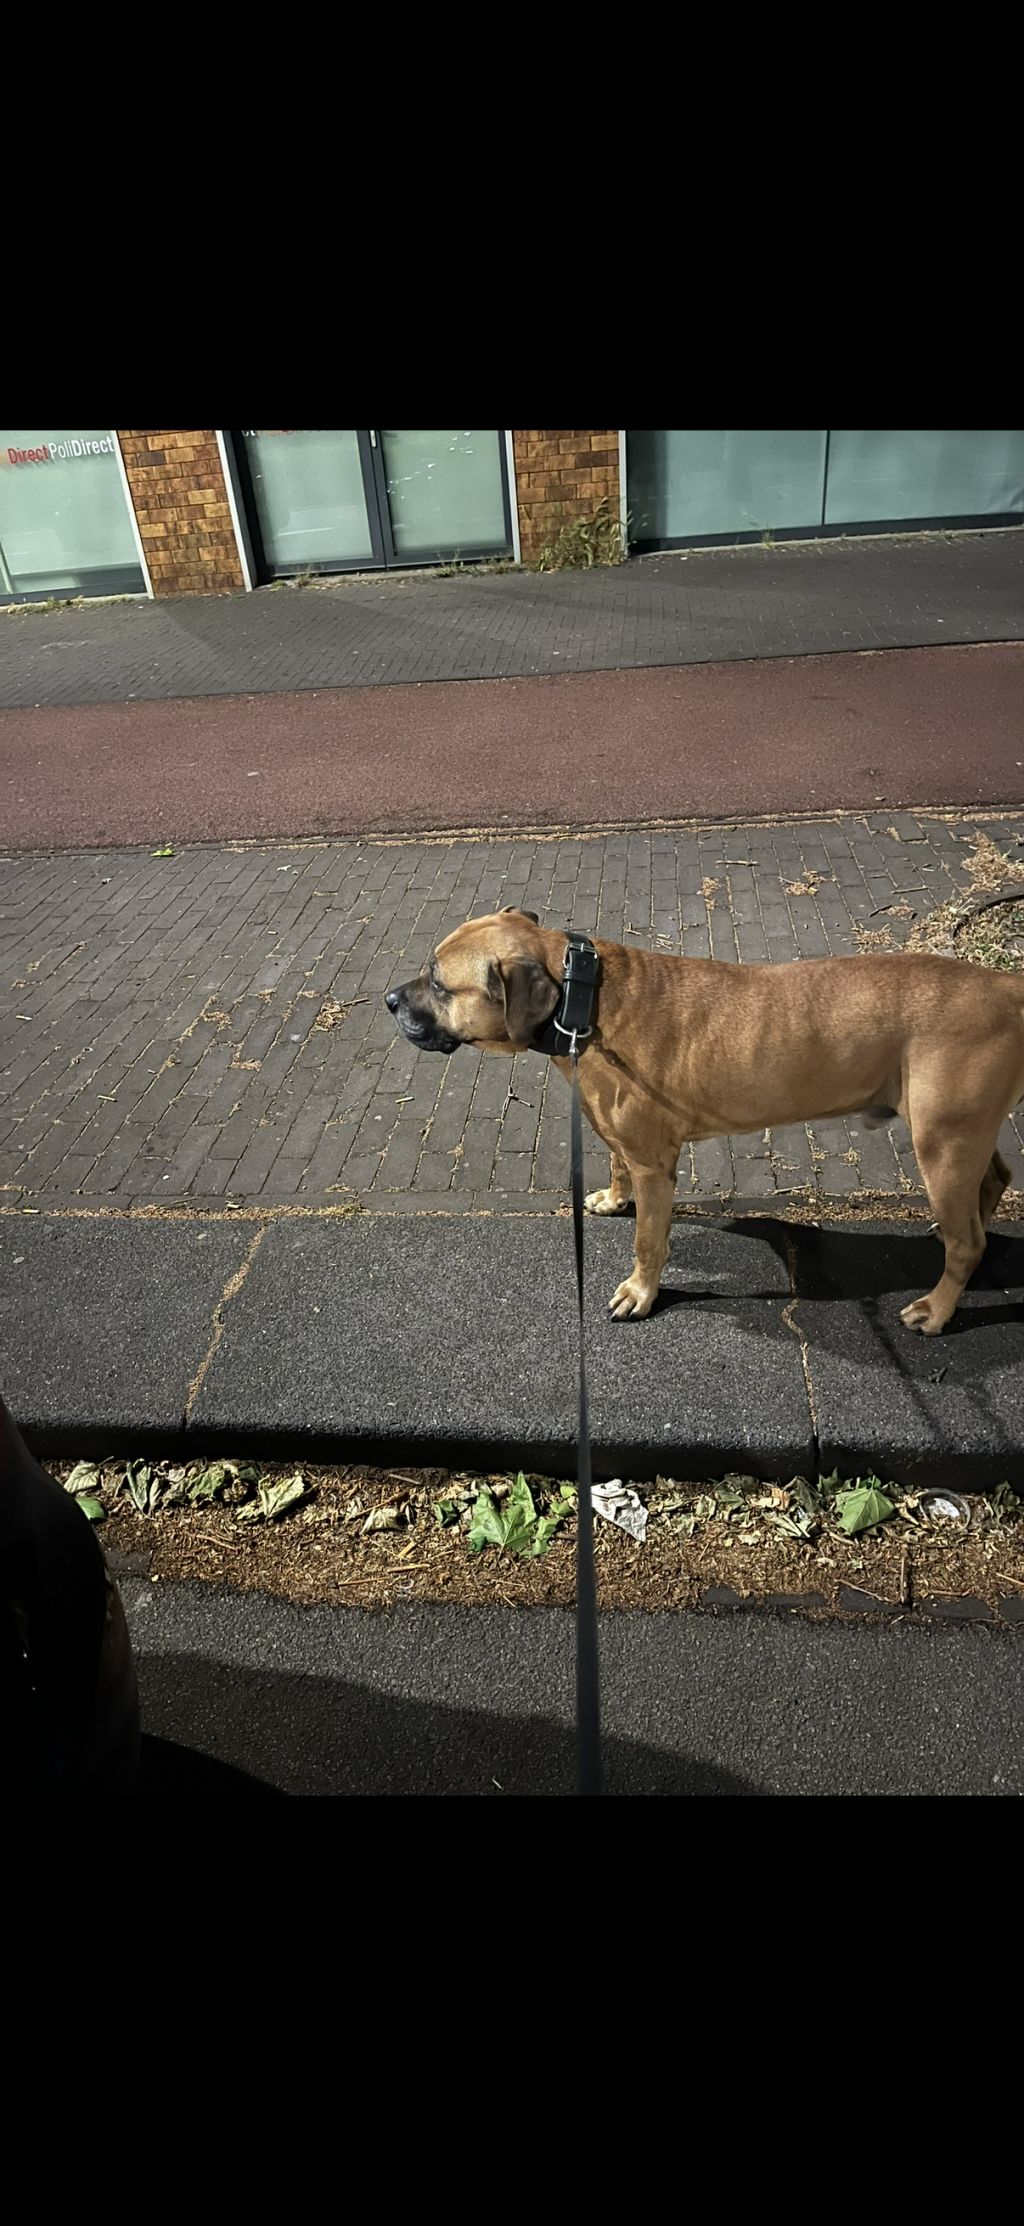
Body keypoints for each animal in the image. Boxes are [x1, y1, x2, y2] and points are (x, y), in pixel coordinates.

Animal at [385, 908, 1024, 1333]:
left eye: (439, 983)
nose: (390, 999)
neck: (581, 998)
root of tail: (1005, 985)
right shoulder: (624, 1143)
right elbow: (616, 1168)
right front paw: (613, 1199)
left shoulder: (654, 1166)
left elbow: (648, 1240)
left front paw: (640, 1292)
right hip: (961, 1133)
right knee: (993, 1181)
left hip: (942, 1141)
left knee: (968, 1241)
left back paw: (938, 1306)